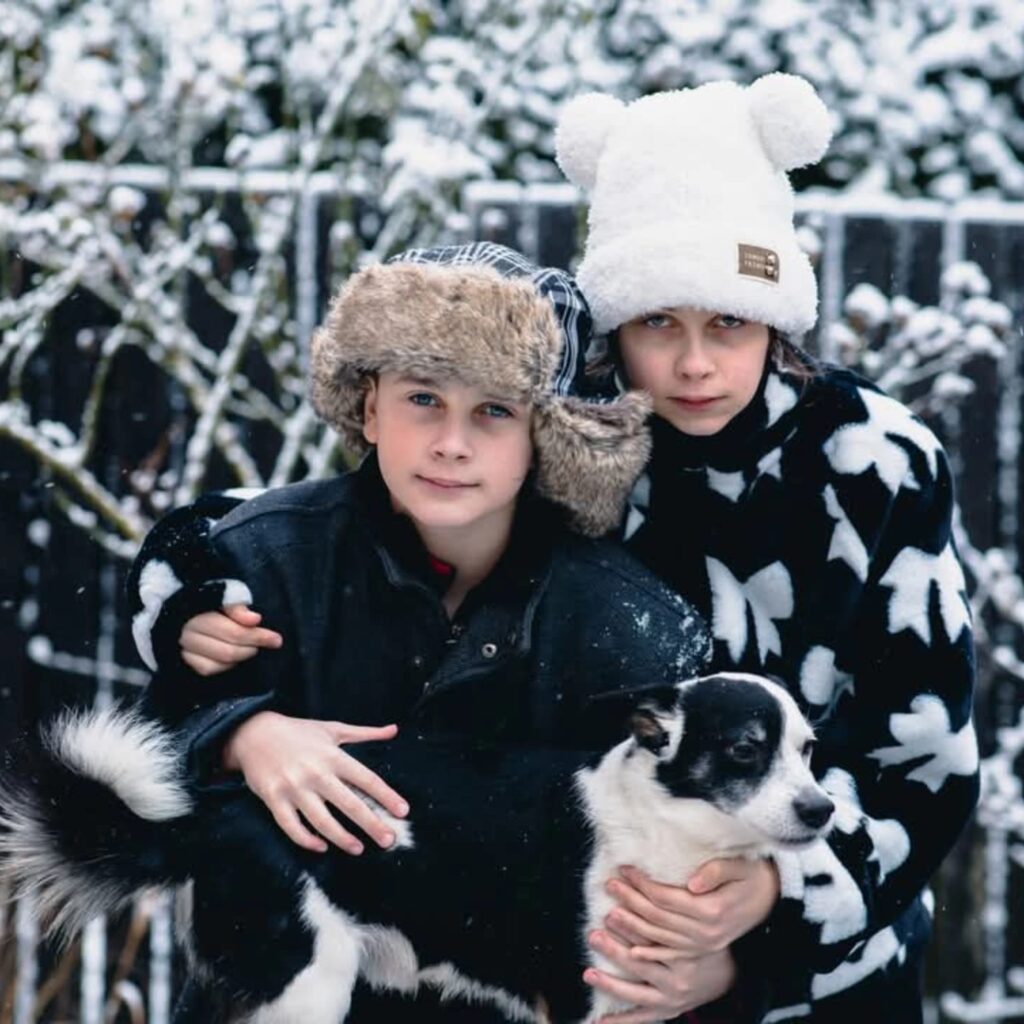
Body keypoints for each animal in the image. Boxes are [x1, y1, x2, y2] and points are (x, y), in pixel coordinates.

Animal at [0, 672, 833, 1023]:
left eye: (808, 750)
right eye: (745, 749)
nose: (823, 810)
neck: (662, 826)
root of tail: (225, 810)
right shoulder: (581, 1003)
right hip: (303, 985)